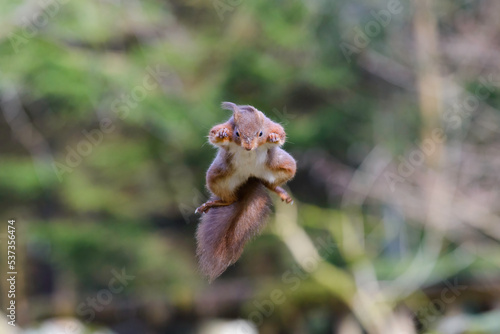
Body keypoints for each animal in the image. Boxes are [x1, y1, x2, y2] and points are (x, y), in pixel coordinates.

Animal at [195, 102, 296, 282]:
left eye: (260, 133)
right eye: (237, 133)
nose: (248, 147)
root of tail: (251, 176)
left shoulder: (271, 125)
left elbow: (281, 133)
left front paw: (274, 137)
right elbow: (213, 134)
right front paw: (222, 133)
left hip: (283, 165)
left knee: (269, 183)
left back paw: (278, 190)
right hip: (216, 176)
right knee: (231, 199)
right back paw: (217, 202)